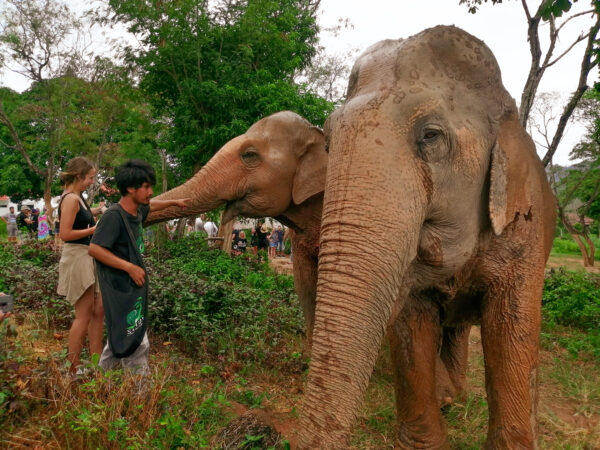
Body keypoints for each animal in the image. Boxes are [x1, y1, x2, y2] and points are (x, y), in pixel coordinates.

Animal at [290, 25, 552, 450]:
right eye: (328, 142)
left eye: (430, 135)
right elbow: (412, 325)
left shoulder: (525, 230)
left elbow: (512, 330)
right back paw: (448, 398)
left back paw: (455, 397)